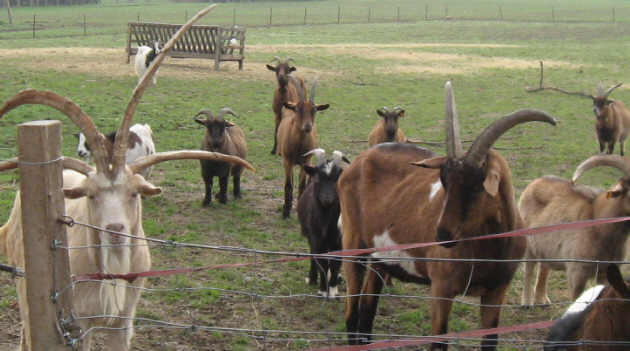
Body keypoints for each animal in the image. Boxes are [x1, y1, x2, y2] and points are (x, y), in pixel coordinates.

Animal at [278, 78, 334, 219]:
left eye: (314, 110)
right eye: (298, 109)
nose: (308, 127)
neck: (299, 146)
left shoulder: (306, 161)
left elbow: (302, 185)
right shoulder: (287, 161)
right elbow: (288, 184)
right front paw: (285, 211)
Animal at [298, 149, 350, 300]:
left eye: (337, 179)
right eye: (317, 178)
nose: (327, 199)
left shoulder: (339, 241)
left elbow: (335, 263)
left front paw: (333, 290)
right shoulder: (316, 239)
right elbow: (322, 263)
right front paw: (322, 290)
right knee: (313, 255)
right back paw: (312, 278)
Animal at [338, 81, 556, 350]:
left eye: (477, 186)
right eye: (444, 181)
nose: (442, 234)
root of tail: (358, 161)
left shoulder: (496, 291)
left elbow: (490, 341)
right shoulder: (441, 289)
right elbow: (439, 341)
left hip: (380, 258)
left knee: (367, 310)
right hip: (353, 245)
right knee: (352, 312)